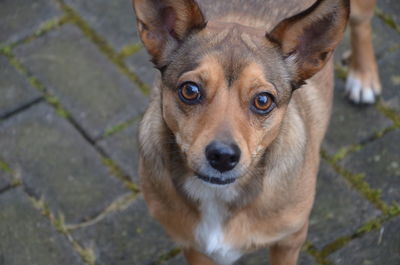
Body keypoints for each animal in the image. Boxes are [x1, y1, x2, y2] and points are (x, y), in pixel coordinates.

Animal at [132, 0, 382, 262]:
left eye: (263, 100)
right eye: (190, 90)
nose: (223, 156)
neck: (218, 195)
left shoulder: (289, 241)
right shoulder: (192, 248)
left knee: (362, 25)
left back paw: (363, 76)